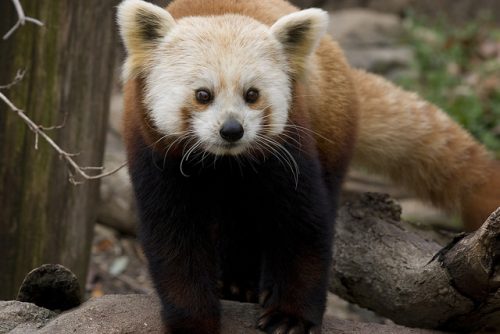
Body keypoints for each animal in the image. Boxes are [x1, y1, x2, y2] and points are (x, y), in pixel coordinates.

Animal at [117, 0, 500, 334]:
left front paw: (290, 317)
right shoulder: (155, 153)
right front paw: (192, 321)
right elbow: (173, 237)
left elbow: (302, 224)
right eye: (202, 95)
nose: (232, 130)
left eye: (252, 94)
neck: (224, 161)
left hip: (332, 133)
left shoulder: (289, 146)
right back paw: (237, 282)